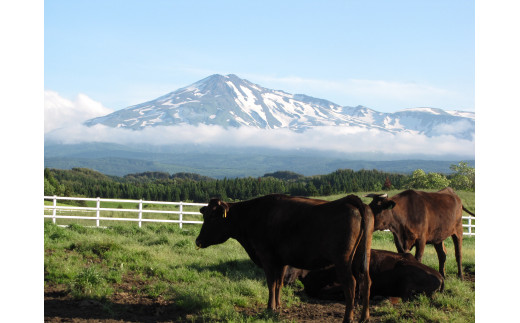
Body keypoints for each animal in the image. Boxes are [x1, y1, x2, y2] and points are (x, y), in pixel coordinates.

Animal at [195, 195, 374, 323]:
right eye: (205, 215)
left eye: (213, 216)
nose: (198, 241)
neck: (252, 216)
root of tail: (350, 200)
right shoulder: (281, 261)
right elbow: (279, 283)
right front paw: (278, 306)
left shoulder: (267, 257)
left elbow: (271, 283)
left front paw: (270, 308)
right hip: (361, 257)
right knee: (366, 281)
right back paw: (364, 317)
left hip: (343, 261)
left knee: (351, 284)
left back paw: (348, 318)